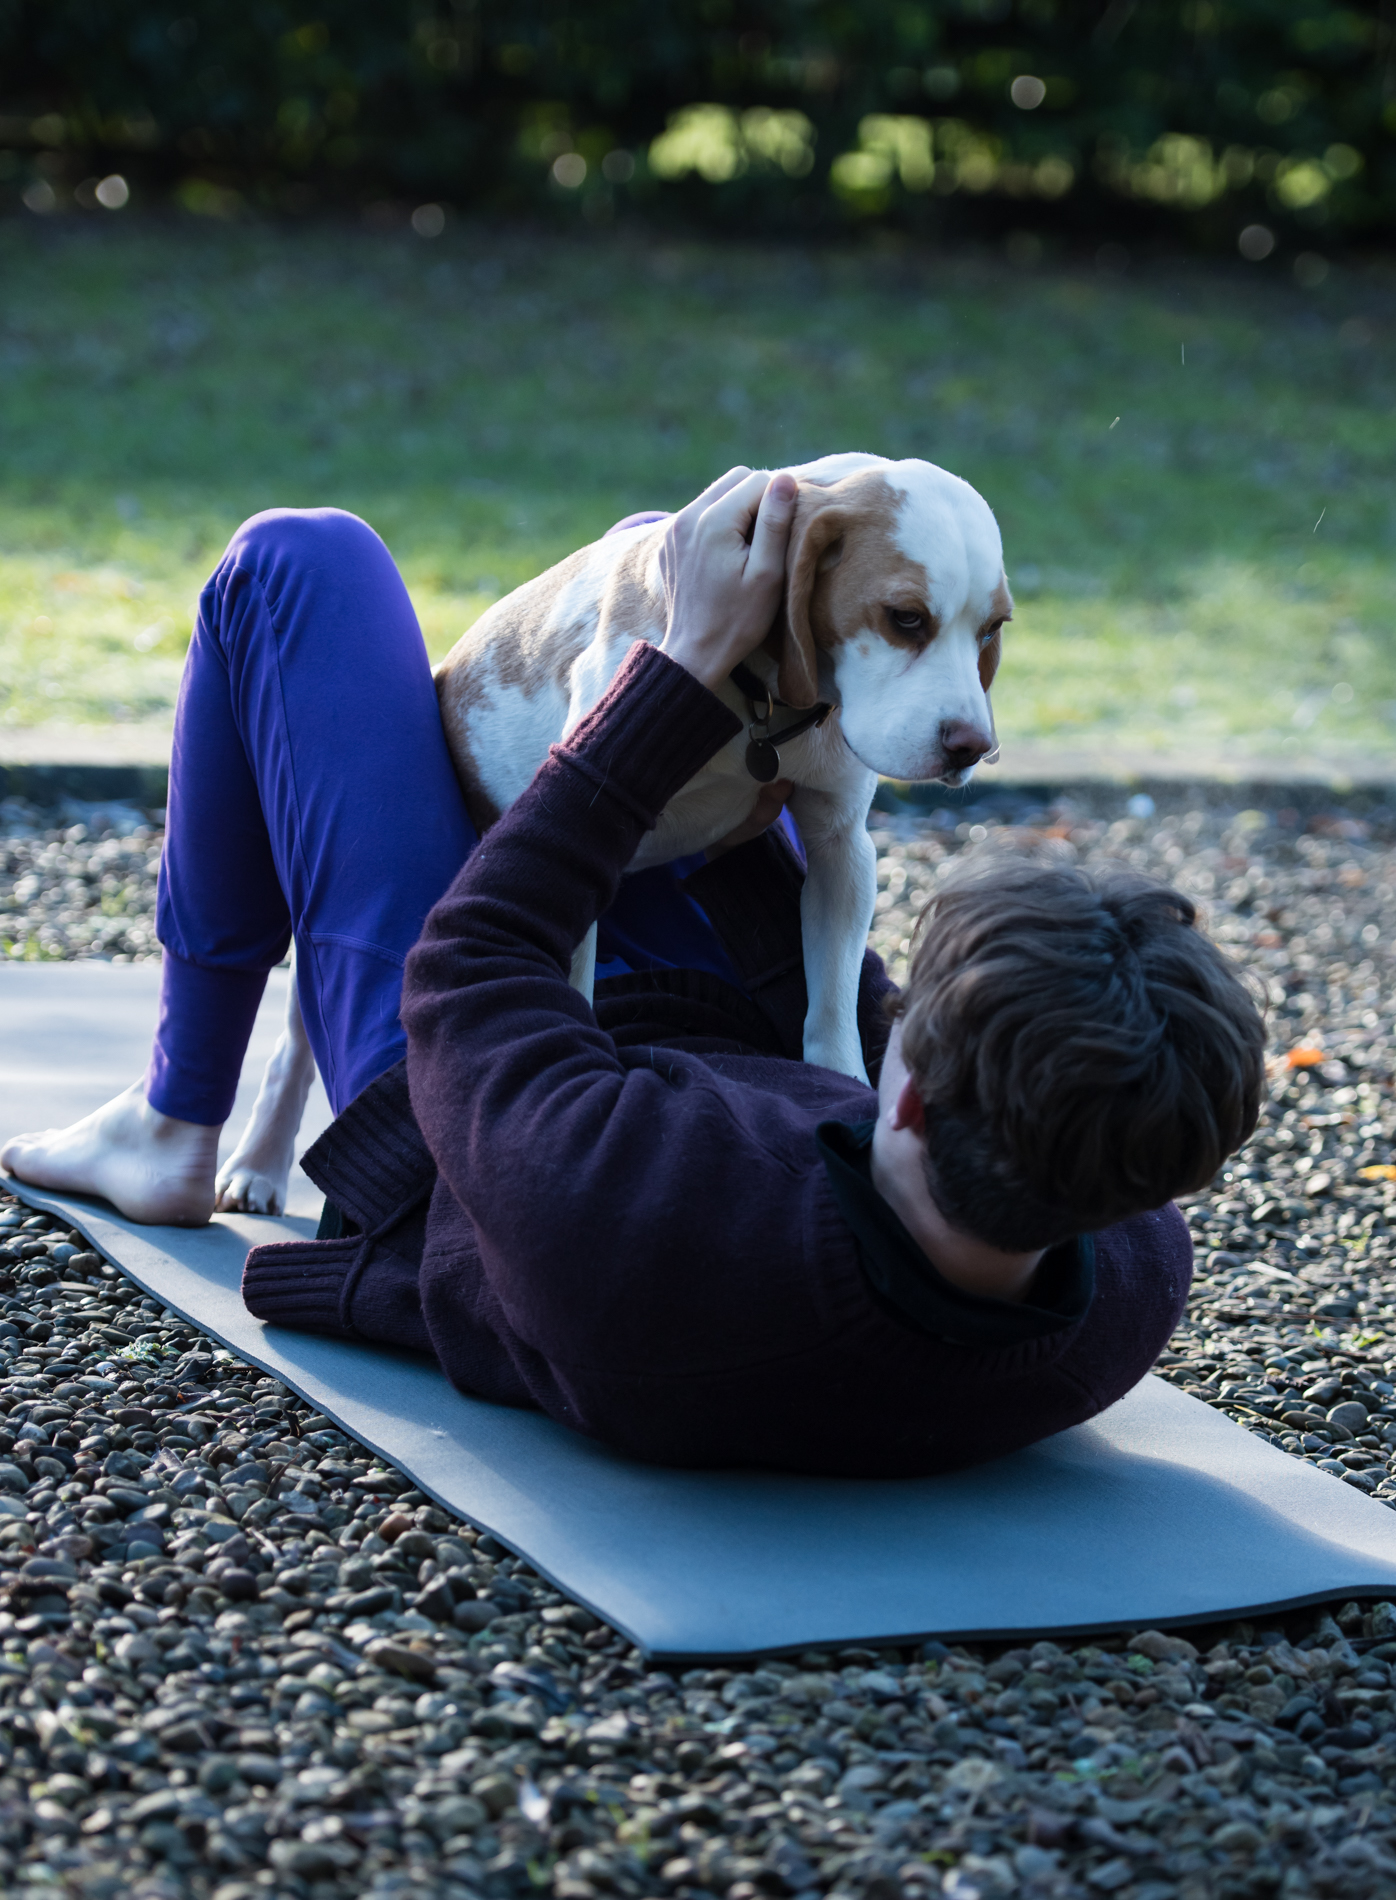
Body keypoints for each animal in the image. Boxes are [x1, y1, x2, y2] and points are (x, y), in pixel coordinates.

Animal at [212, 452, 1010, 1208]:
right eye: (905, 618)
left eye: (992, 629)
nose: (973, 746)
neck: (753, 704)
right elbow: (573, 992)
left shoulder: (844, 853)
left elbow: (832, 1006)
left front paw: (842, 1087)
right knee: (295, 1038)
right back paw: (256, 1161)